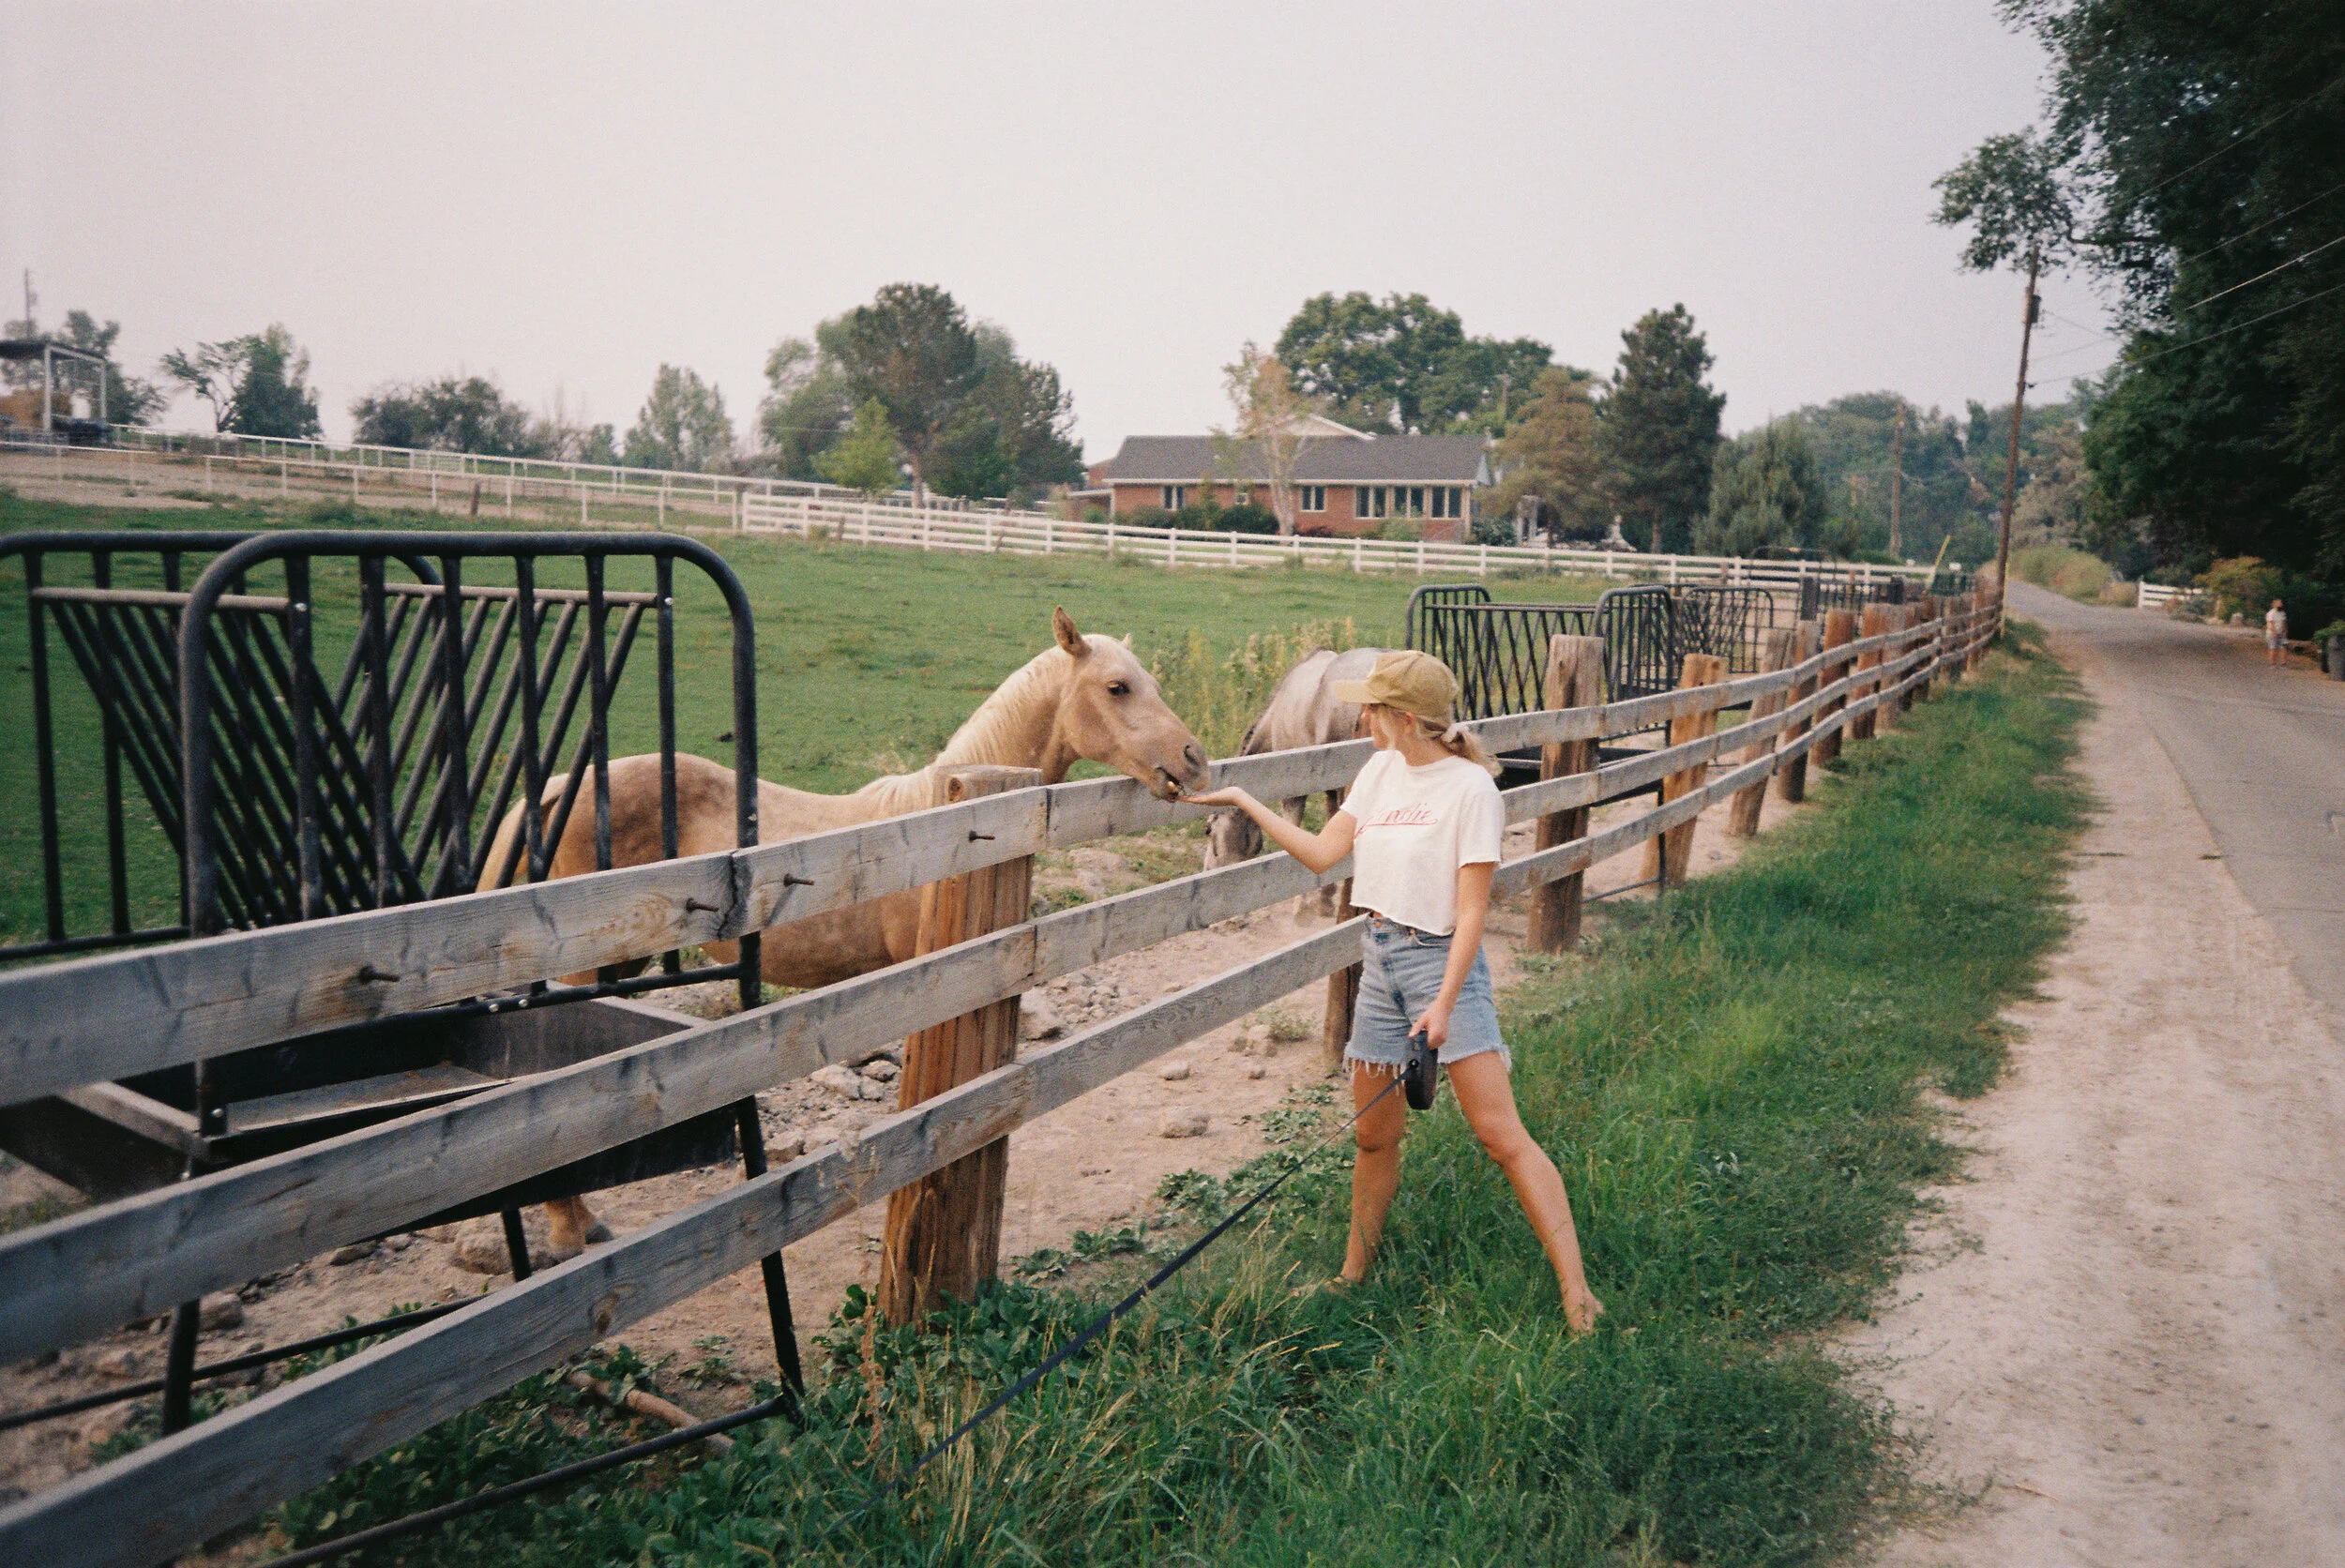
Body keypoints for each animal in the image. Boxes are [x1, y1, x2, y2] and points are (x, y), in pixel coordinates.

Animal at [1202, 646, 1393, 917]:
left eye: (1208, 830)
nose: (1207, 870)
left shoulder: (1295, 791)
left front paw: (1299, 908)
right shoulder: (1330, 786)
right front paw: (1325, 898)